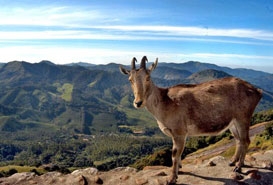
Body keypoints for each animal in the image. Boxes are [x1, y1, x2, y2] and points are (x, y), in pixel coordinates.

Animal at [119, 56, 262, 185]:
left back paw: (238, 166)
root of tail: (257, 91)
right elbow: (179, 154)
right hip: (232, 123)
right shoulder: (176, 134)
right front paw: (180, 170)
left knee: (246, 140)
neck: (165, 103)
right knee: (238, 140)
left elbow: (175, 154)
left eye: (148, 78)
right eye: (130, 79)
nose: (138, 102)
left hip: (243, 117)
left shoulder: (179, 132)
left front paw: (172, 178)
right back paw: (232, 162)